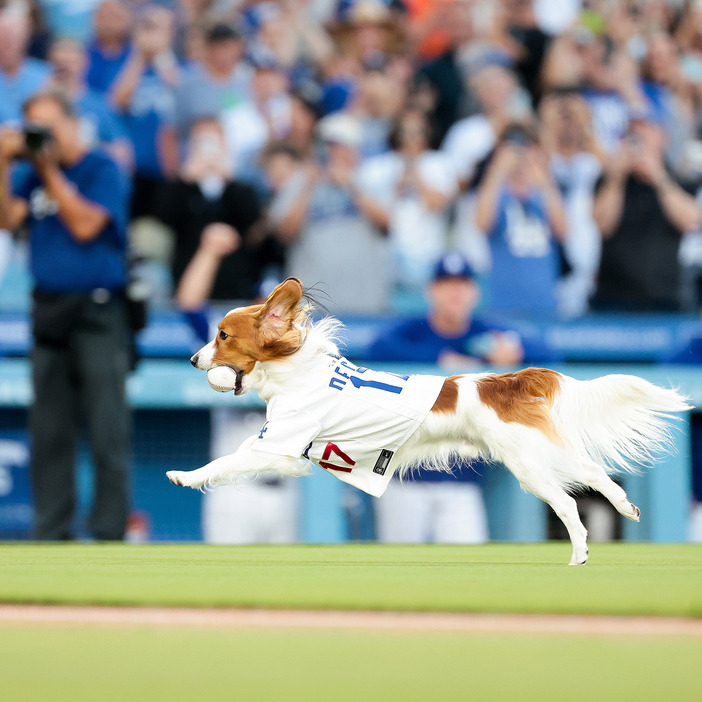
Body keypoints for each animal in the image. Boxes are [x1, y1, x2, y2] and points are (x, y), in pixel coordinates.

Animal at [168, 280, 696, 568]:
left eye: (222, 335)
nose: (193, 359)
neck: (297, 371)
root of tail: (506, 379)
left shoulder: (277, 446)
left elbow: (225, 461)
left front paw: (186, 476)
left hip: (529, 464)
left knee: (569, 502)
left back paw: (579, 553)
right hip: (538, 454)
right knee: (591, 473)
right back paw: (625, 507)